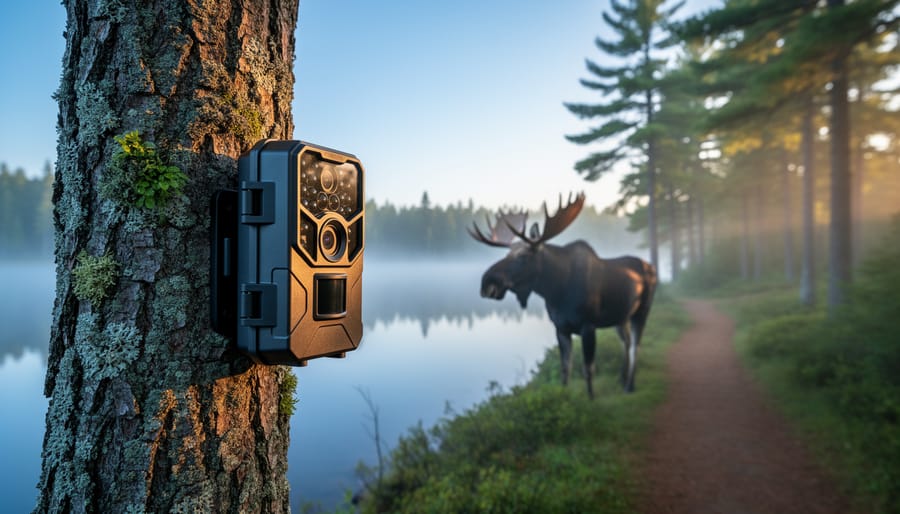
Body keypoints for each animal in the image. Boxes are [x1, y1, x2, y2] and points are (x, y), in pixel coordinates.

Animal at [469, 193, 657, 398]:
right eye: (506, 255)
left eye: (523, 256)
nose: (486, 283)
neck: (556, 291)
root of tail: (652, 268)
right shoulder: (560, 328)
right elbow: (565, 368)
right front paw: (564, 395)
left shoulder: (588, 326)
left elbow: (588, 369)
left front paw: (591, 399)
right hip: (621, 317)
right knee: (627, 342)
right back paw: (622, 379)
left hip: (642, 310)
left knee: (635, 347)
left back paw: (629, 385)